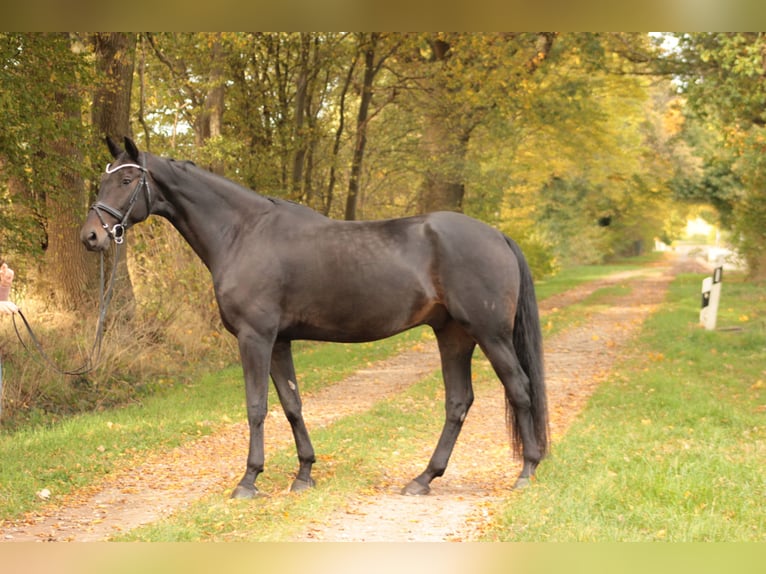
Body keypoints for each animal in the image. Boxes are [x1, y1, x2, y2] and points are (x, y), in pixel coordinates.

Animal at [81, 138, 548, 500]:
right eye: (104, 179)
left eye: (126, 180)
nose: (91, 236)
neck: (243, 234)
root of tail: (497, 235)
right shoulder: (280, 341)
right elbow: (291, 404)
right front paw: (304, 473)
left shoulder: (255, 337)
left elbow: (256, 407)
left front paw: (248, 481)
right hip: (453, 335)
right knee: (458, 402)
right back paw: (423, 479)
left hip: (489, 334)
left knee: (520, 389)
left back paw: (526, 472)